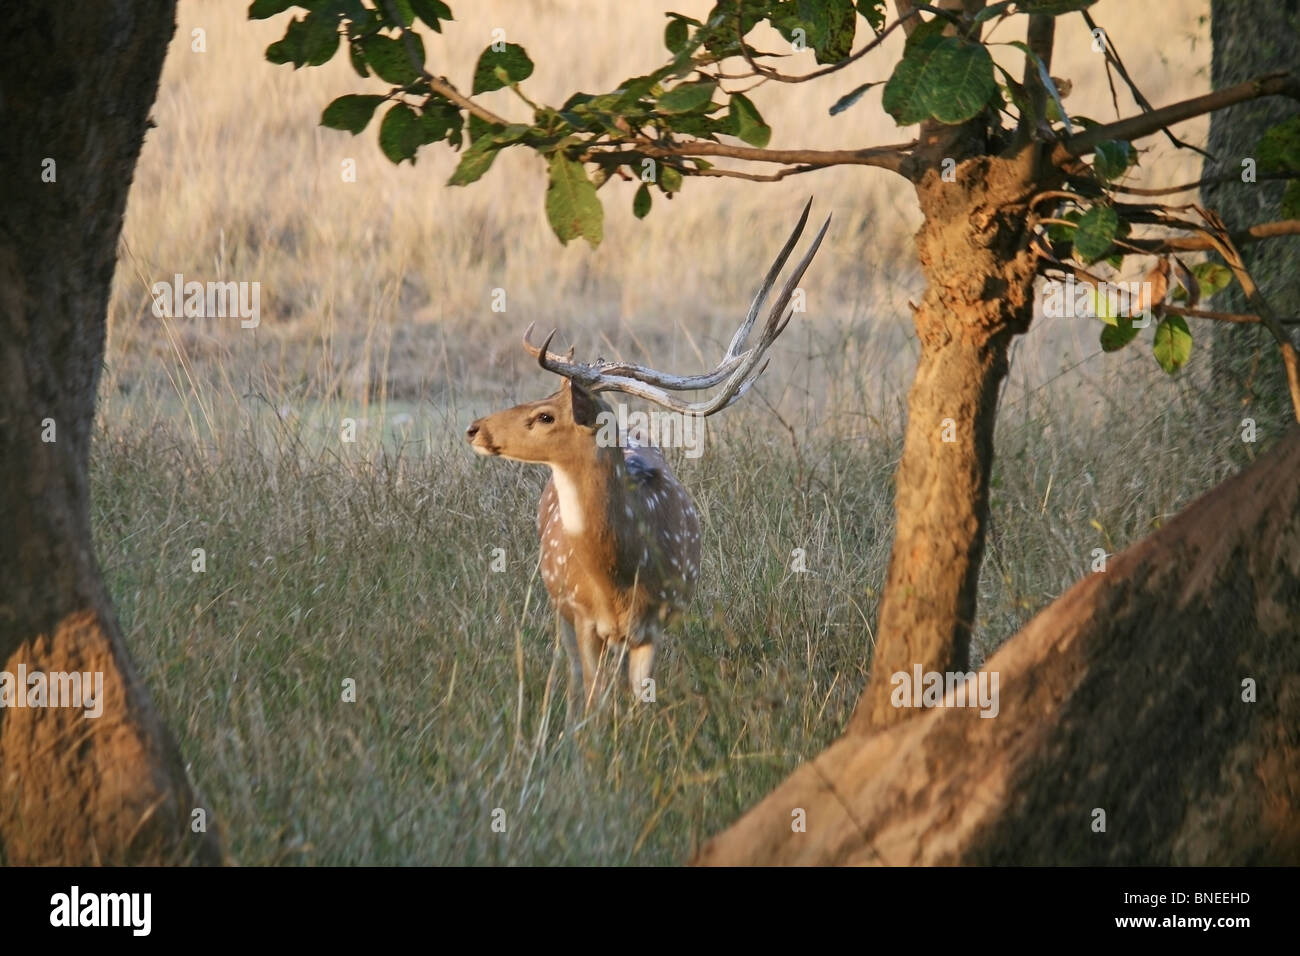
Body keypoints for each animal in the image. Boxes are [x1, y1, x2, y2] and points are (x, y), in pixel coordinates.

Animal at [465, 200, 830, 713]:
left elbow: (639, 704)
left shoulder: (657, 620)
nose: (475, 428)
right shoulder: (582, 617)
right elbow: (594, 703)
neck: (616, 581)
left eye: (544, 415)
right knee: (575, 677)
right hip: (558, 605)